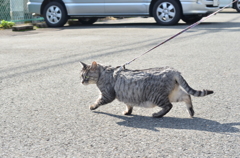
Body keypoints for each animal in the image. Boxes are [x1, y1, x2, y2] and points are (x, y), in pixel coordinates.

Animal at [79, 61, 213, 118]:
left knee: (169, 106)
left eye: (86, 76)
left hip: (157, 96)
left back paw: (157, 115)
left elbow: (98, 101)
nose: (82, 82)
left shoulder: (107, 94)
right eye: (81, 76)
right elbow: (129, 105)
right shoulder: (128, 96)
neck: (104, 72)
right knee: (187, 96)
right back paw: (191, 112)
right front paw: (128, 112)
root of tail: (173, 70)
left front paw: (92, 106)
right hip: (174, 94)